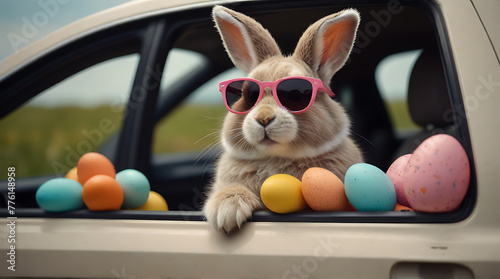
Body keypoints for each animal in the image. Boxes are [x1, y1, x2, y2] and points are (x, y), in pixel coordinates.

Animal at [203, 5, 364, 235]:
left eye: (295, 94)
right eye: (248, 94)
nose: (264, 118)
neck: (276, 158)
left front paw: (226, 214)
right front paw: (225, 211)